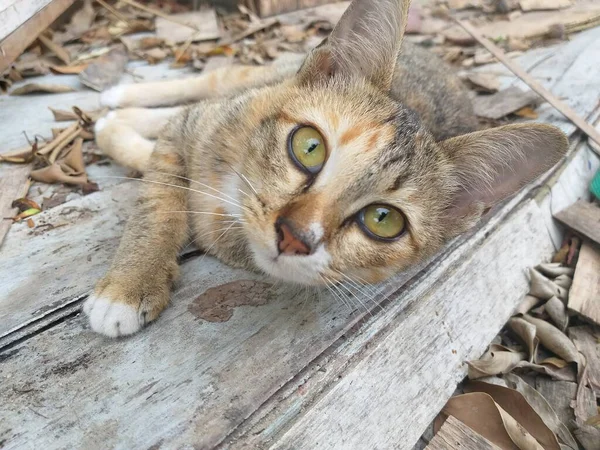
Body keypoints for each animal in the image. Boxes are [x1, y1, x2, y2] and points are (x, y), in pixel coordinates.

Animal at [84, 0, 568, 338]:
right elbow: (158, 202)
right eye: (309, 146)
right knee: (213, 81)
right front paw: (129, 284)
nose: (294, 236)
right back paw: (120, 97)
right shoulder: (193, 128)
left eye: (383, 219)